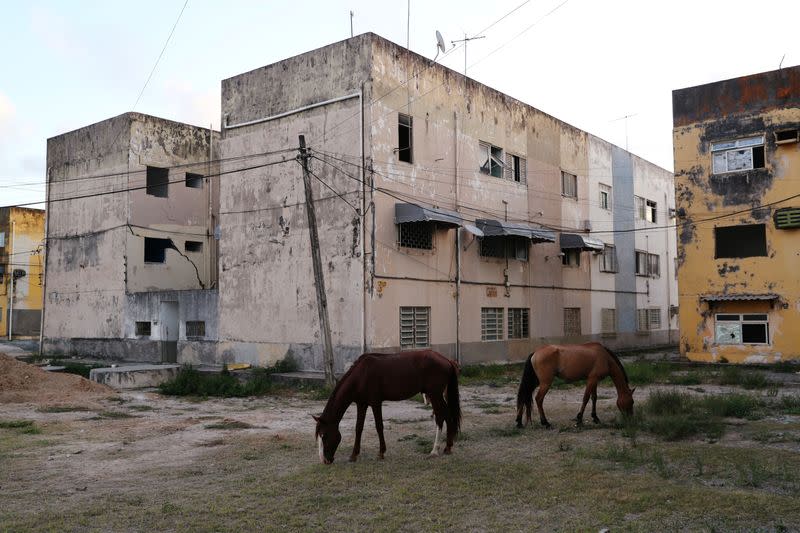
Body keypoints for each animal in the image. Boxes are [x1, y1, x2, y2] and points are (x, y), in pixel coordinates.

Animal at [312, 350, 462, 462]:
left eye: (324, 436)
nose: (324, 460)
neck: (361, 375)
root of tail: (447, 360)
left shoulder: (375, 403)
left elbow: (379, 426)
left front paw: (381, 453)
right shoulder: (362, 404)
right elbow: (358, 428)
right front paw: (354, 455)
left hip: (435, 395)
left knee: (441, 417)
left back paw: (435, 450)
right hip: (436, 395)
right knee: (447, 417)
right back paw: (447, 447)